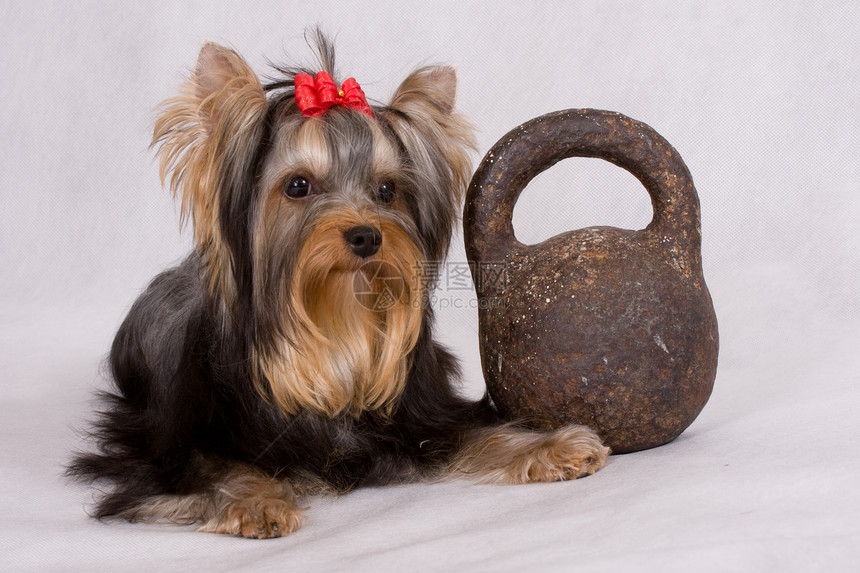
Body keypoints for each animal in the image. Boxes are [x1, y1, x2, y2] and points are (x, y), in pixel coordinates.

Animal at [72, 34, 612, 536]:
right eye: (297, 186)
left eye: (387, 190)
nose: (366, 235)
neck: (337, 321)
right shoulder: (171, 448)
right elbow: (215, 468)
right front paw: (256, 501)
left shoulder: (423, 417)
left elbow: (479, 433)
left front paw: (556, 446)